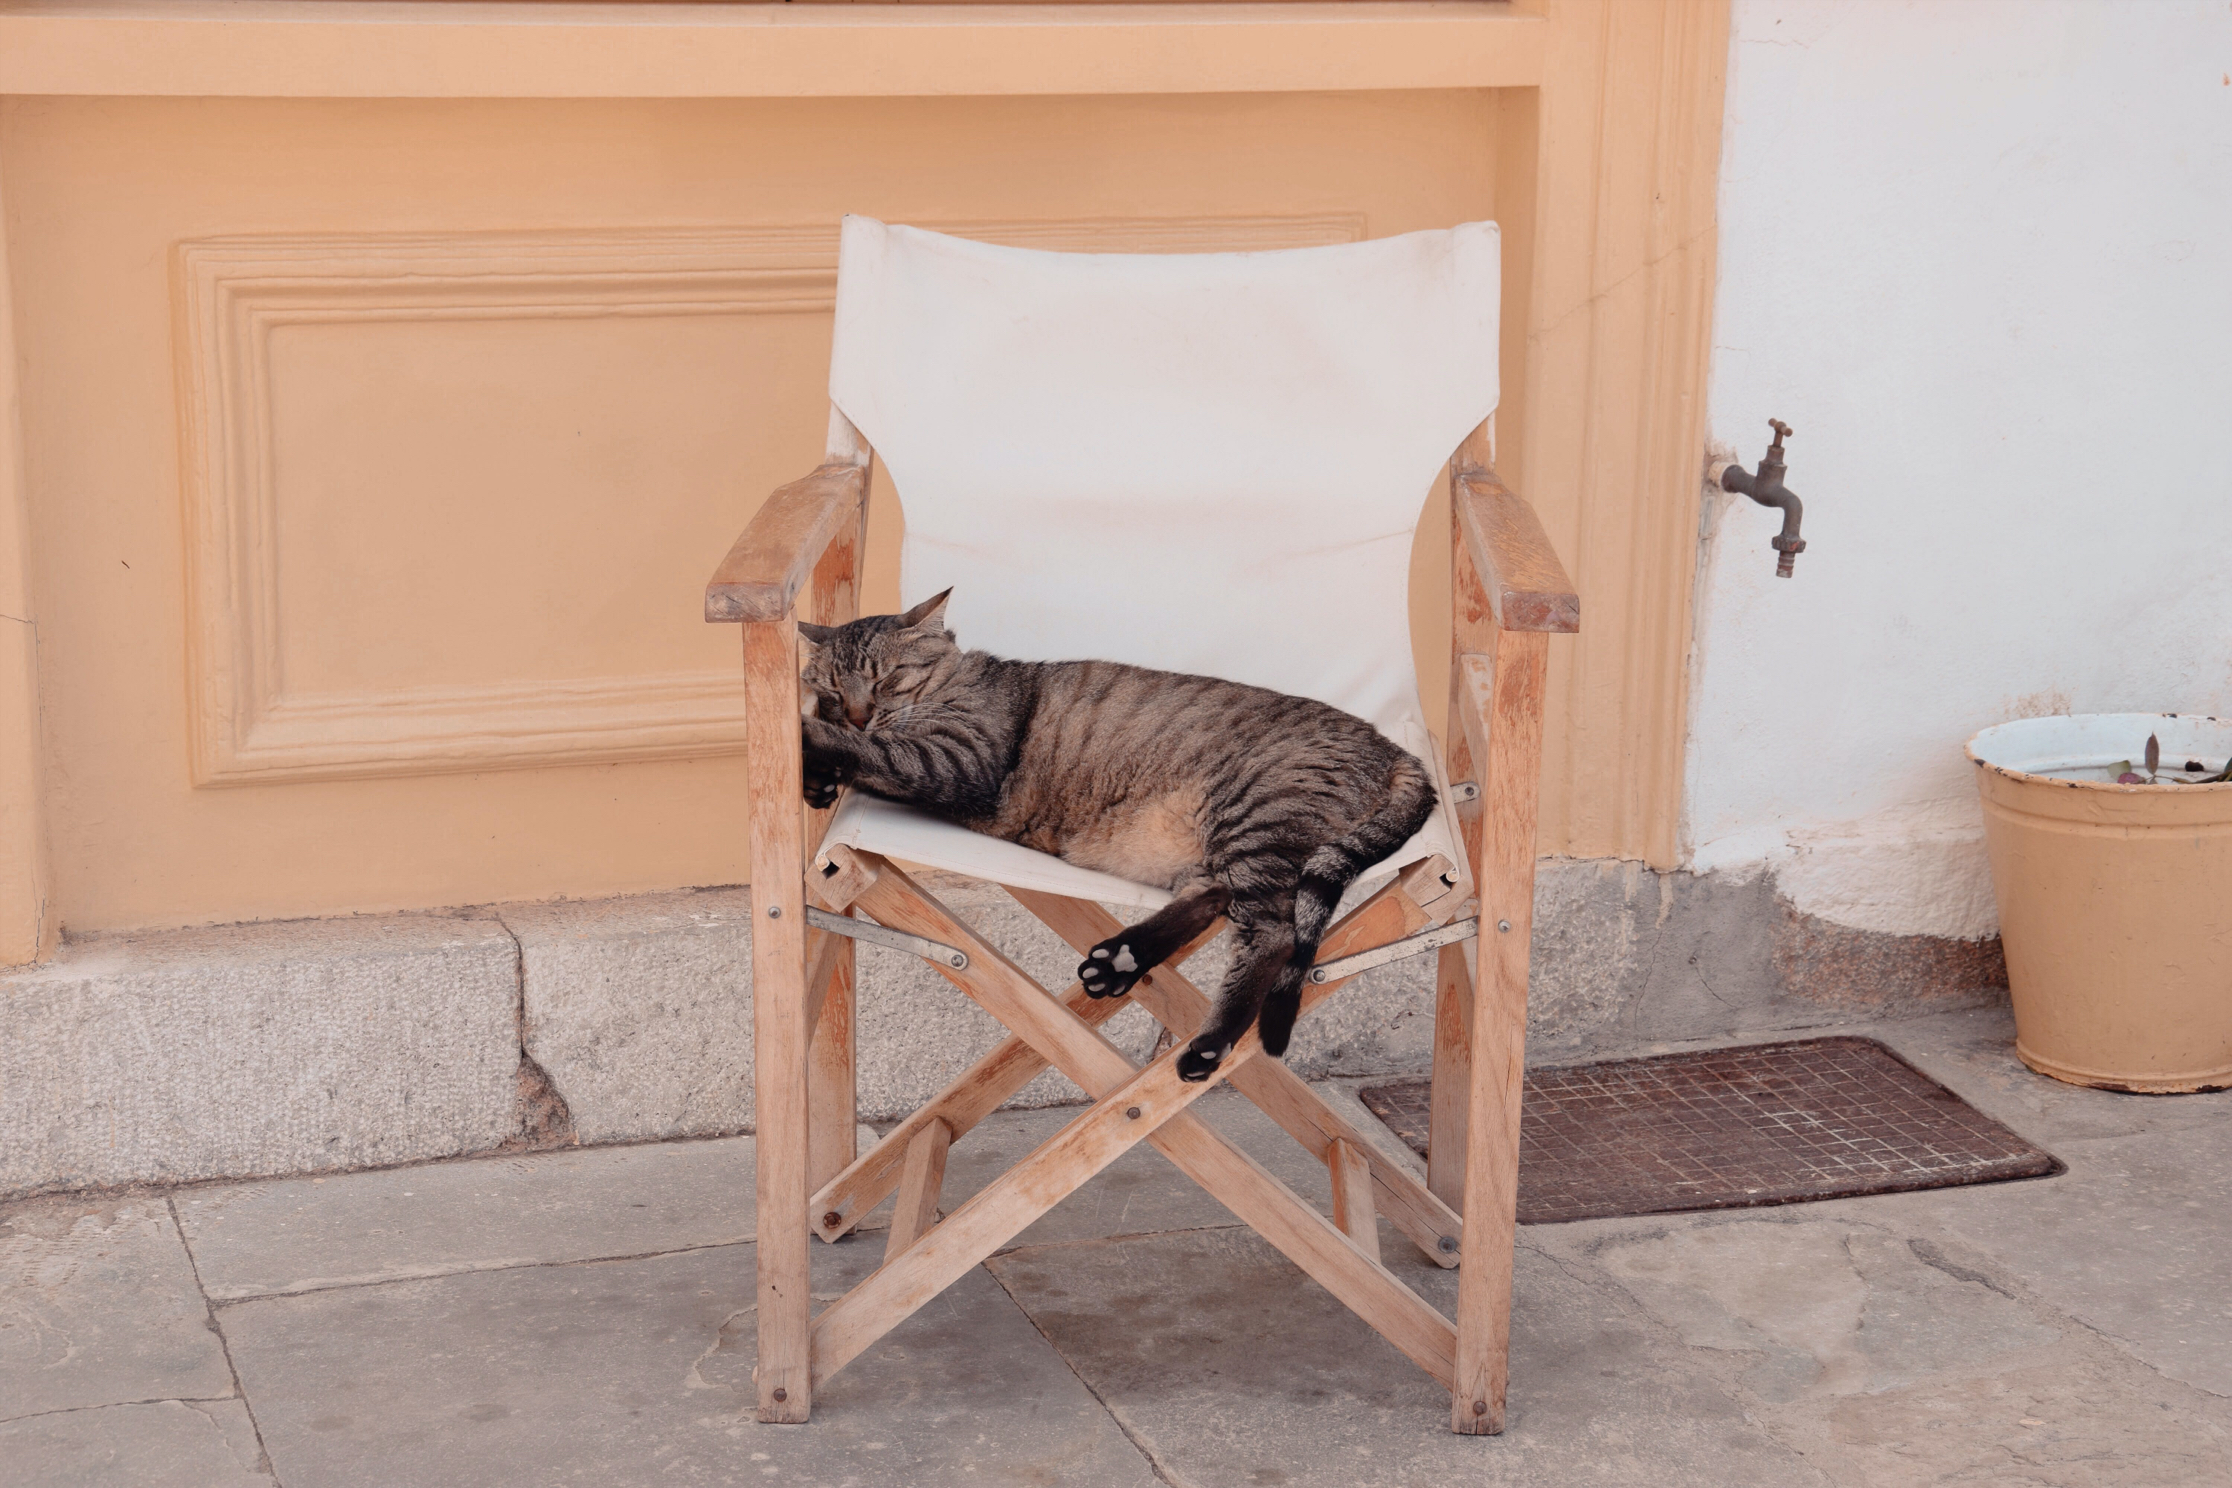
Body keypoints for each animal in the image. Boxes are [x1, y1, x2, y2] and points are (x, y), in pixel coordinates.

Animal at [799, 593, 1428, 1084]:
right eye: (830, 686)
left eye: (885, 680)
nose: (856, 715)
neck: (958, 679)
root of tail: (1395, 748)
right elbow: (866, 756)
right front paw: (821, 772)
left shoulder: (958, 761)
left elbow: (878, 753)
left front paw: (819, 743)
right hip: (1230, 842)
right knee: (1215, 898)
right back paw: (1125, 957)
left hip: (1257, 817)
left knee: (1270, 933)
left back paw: (1210, 1042)